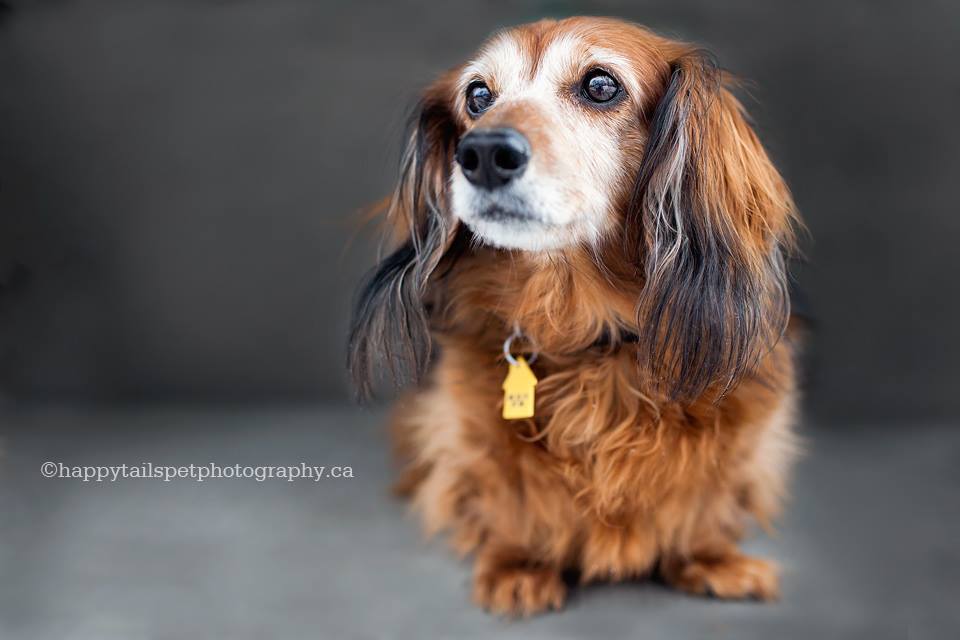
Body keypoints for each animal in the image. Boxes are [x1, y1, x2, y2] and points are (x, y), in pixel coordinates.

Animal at [348, 15, 800, 616]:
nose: (483, 153)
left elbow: (710, 490)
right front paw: (517, 564)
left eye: (600, 85)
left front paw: (708, 558)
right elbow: (505, 488)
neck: (591, 340)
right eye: (478, 95)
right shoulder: (470, 429)